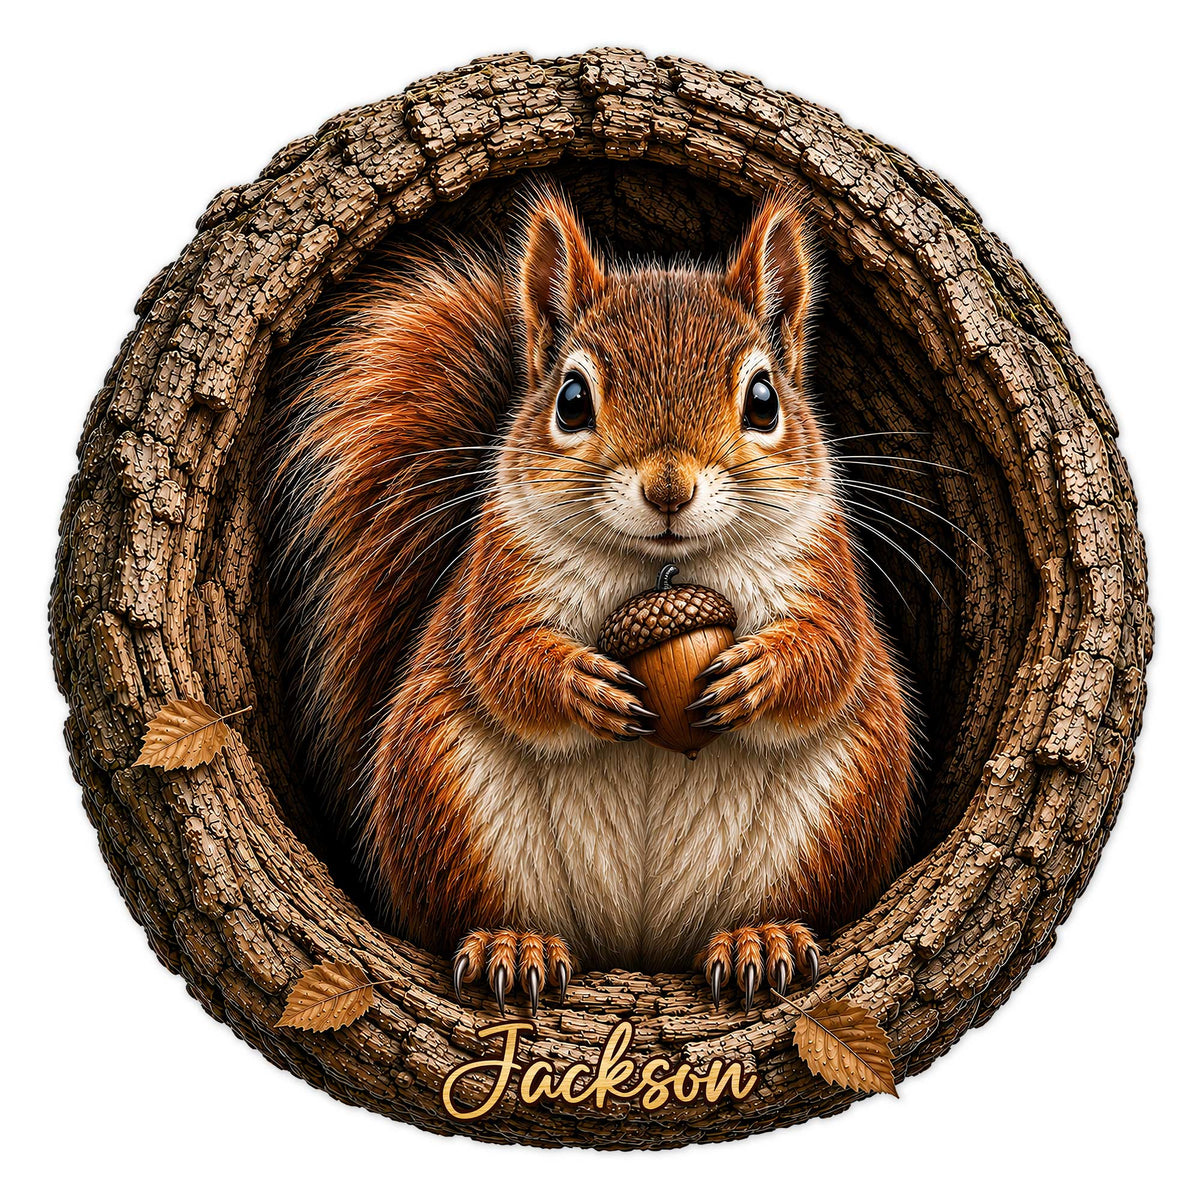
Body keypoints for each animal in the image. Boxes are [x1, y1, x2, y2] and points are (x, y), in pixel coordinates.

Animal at [269, 185, 914, 1016]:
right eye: (571, 400)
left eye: (765, 400)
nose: (669, 488)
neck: (660, 569)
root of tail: (638, 948)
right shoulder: (497, 576)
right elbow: (502, 661)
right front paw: (581, 685)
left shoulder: (823, 567)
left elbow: (832, 652)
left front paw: (757, 674)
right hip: (448, 801)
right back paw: (514, 944)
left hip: (839, 812)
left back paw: (759, 938)